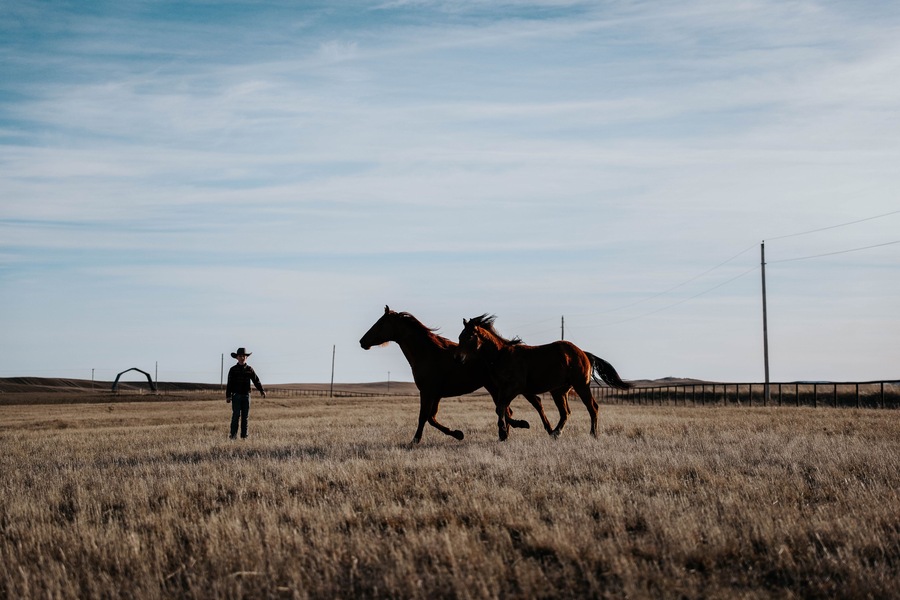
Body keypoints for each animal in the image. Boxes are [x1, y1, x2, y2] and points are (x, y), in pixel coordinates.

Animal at [359, 306, 559, 444]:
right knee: (507, 408)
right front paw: (458, 434)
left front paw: (414, 441)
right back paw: (507, 433)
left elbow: (423, 417)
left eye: (380, 324)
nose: (362, 342)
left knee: (531, 404)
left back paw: (544, 430)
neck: (428, 353)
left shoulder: (427, 392)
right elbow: (431, 418)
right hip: (497, 387)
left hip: (507, 386)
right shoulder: (436, 394)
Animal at [456, 314, 632, 441]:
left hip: (581, 385)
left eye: (469, 336)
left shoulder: (514, 388)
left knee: (592, 407)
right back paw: (556, 432)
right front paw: (507, 432)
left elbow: (502, 408)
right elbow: (504, 408)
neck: (502, 355)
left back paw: (593, 434)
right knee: (565, 413)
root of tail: (584, 353)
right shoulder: (506, 390)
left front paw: (508, 430)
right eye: (459, 337)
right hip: (559, 391)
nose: (458, 359)